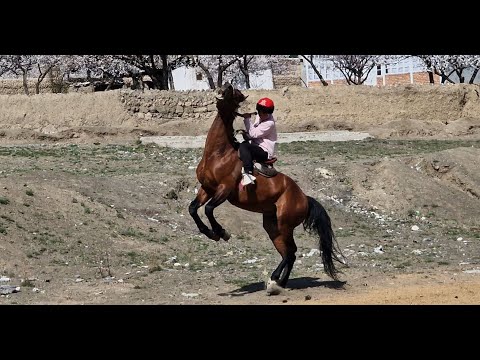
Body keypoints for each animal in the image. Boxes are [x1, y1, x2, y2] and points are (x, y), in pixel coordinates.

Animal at [188, 82, 344, 296]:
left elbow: (209, 209)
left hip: (285, 225)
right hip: (272, 228)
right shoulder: (207, 189)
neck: (218, 153)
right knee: (289, 254)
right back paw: (280, 283)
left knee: (291, 252)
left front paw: (221, 232)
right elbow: (193, 209)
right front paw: (210, 233)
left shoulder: (224, 190)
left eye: (234, 93)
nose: (226, 85)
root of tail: (304, 197)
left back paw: (274, 280)